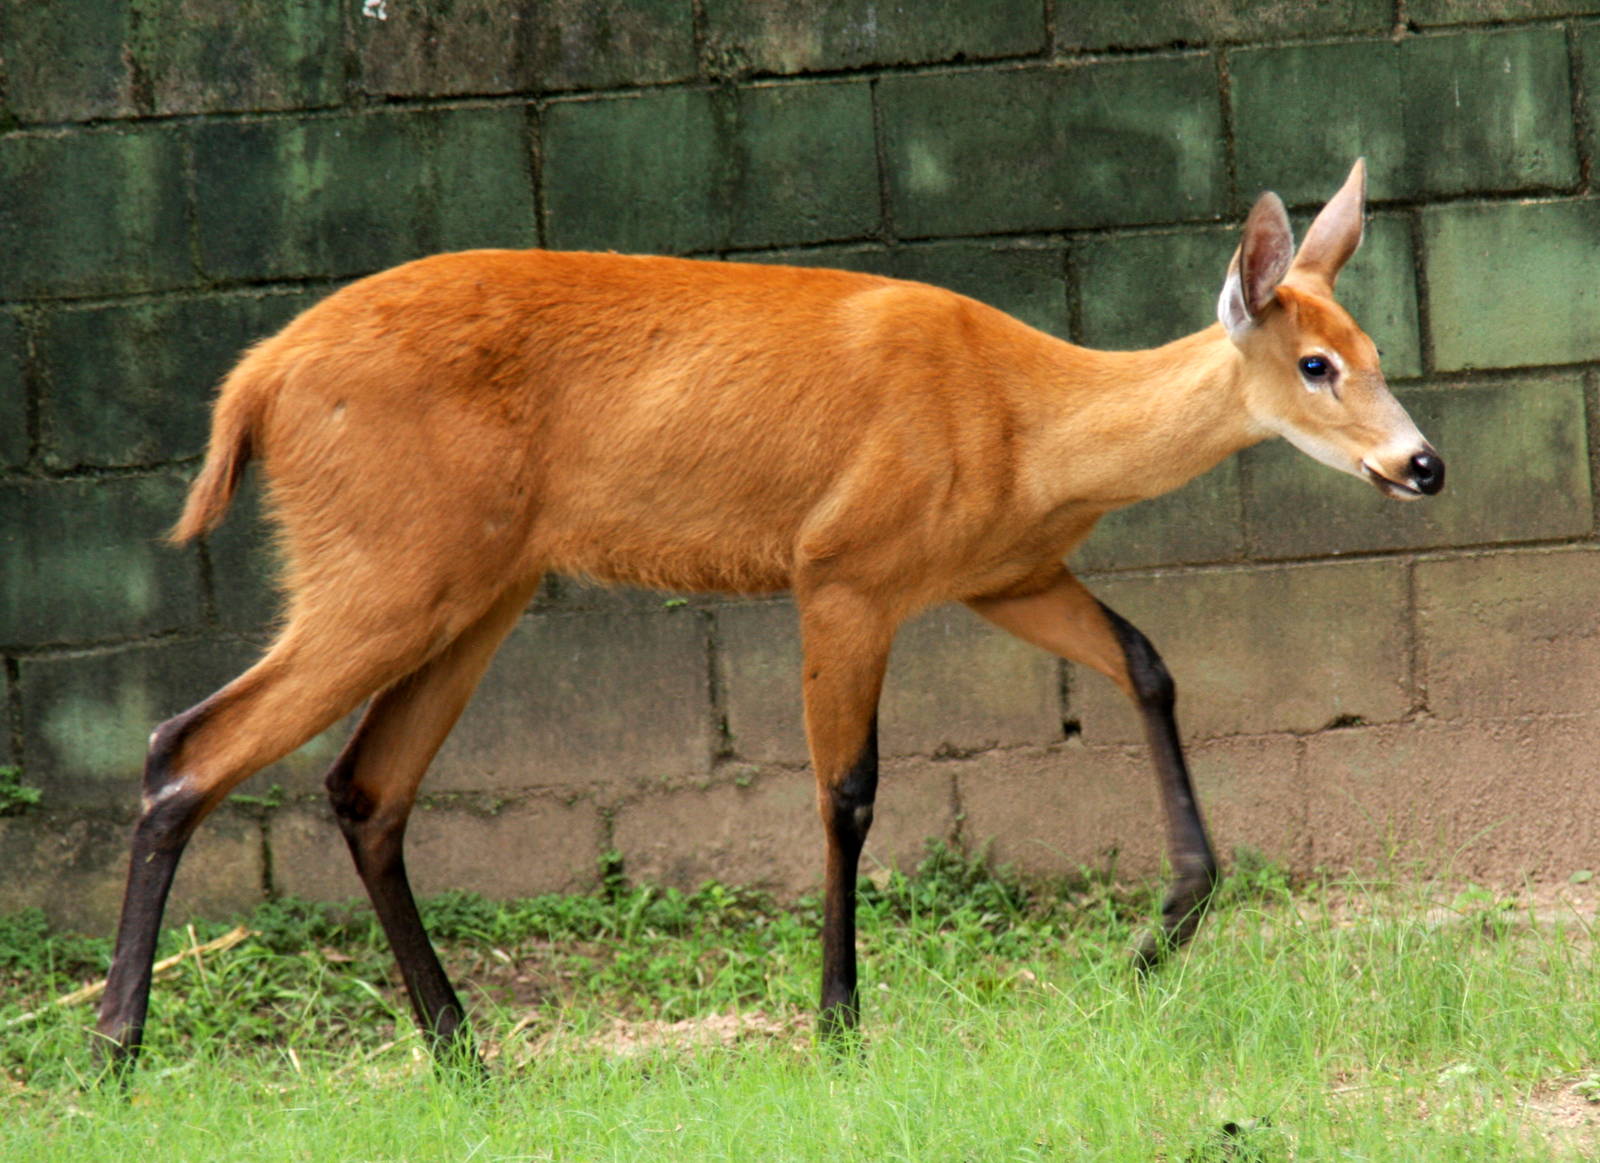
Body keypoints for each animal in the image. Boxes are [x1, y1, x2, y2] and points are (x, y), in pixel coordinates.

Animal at [93, 159, 1442, 1077]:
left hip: (476, 584)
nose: (1422, 464)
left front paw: (1163, 931)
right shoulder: (841, 570)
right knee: (187, 745)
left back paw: (463, 1049)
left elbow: (1150, 663)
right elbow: (846, 788)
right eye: (1314, 364)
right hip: (386, 566)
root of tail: (254, 382)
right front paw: (838, 1022)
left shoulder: (1001, 575)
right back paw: (117, 1046)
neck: (1024, 420)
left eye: (1376, 347)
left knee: (365, 785)